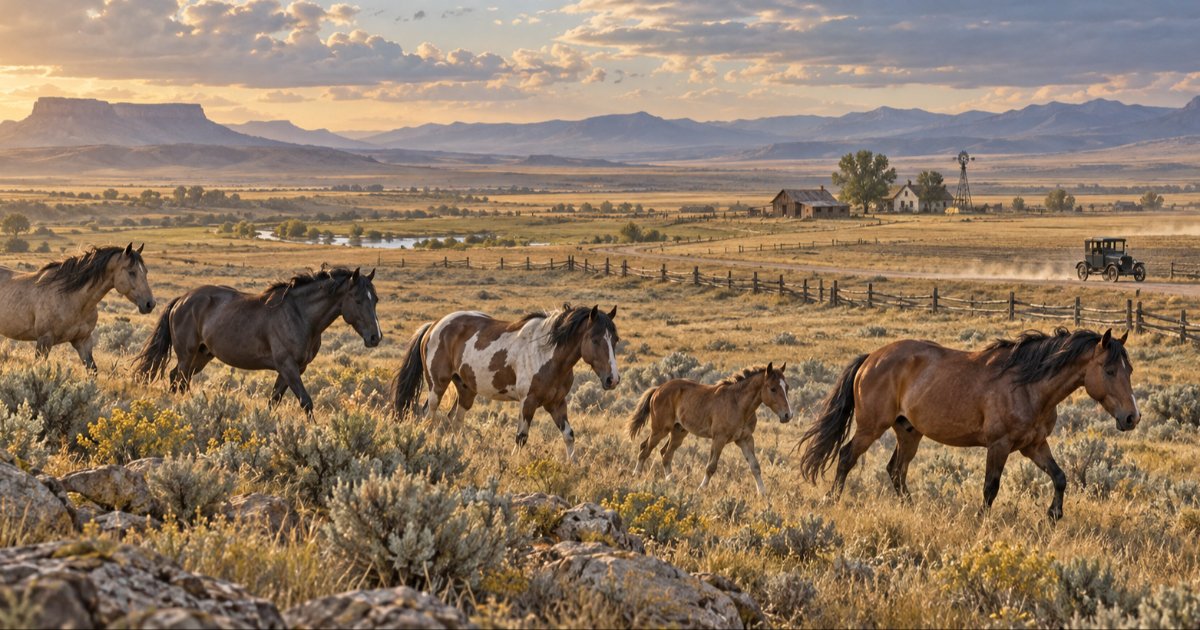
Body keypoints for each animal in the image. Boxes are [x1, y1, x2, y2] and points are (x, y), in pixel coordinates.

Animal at [0, 244, 155, 371]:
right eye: (131, 272)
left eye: (146, 271)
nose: (150, 304)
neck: (71, 298)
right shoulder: (44, 340)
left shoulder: (83, 341)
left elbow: (92, 370)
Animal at [134, 268, 381, 414]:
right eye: (357, 299)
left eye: (375, 299)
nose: (375, 337)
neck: (300, 314)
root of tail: (182, 300)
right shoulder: (288, 366)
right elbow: (306, 402)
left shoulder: (293, 369)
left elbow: (274, 401)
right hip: (187, 355)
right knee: (180, 380)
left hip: (201, 356)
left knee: (176, 378)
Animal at [391, 304, 619, 460]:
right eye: (595, 340)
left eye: (615, 340)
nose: (613, 379)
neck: (547, 353)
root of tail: (434, 326)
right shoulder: (528, 402)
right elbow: (521, 437)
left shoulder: (556, 403)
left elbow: (569, 435)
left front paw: (574, 466)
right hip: (437, 386)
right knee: (429, 416)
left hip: (466, 390)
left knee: (455, 420)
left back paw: (457, 450)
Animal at [628, 363, 793, 496]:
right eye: (773, 389)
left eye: (787, 387)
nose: (788, 415)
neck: (738, 404)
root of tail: (658, 389)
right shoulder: (719, 438)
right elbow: (711, 467)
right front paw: (701, 488)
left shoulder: (745, 439)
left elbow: (755, 466)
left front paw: (763, 493)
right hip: (660, 429)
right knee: (645, 449)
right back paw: (636, 475)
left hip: (678, 431)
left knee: (665, 454)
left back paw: (670, 480)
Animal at [797, 327, 1138, 520]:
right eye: (1109, 370)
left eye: (1129, 369)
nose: (1131, 417)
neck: (1028, 385)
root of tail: (870, 359)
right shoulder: (999, 445)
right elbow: (991, 487)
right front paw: (981, 520)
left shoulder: (1034, 446)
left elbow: (1060, 477)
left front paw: (1054, 514)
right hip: (871, 427)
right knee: (846, 456)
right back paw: (832, 499)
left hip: (909, 432)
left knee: (896, 470)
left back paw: (911, 506)